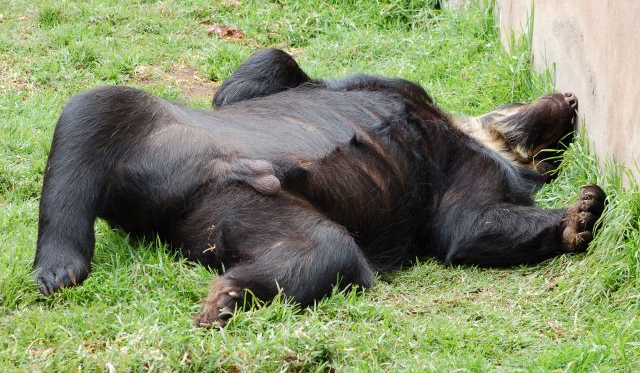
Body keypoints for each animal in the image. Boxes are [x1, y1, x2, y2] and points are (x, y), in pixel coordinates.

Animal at [33, 48, 604, 326]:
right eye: (558, 140)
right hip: (156, 131)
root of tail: (161, 217)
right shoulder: (387, 86)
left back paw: (225, 298)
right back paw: (57, 269)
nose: (572, 99)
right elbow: (273, 72)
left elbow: (469, 223)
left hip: (243, 214)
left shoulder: (473, 171)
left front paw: (581, 213)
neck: (470, 132)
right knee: (93, 112)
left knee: (323, 252)